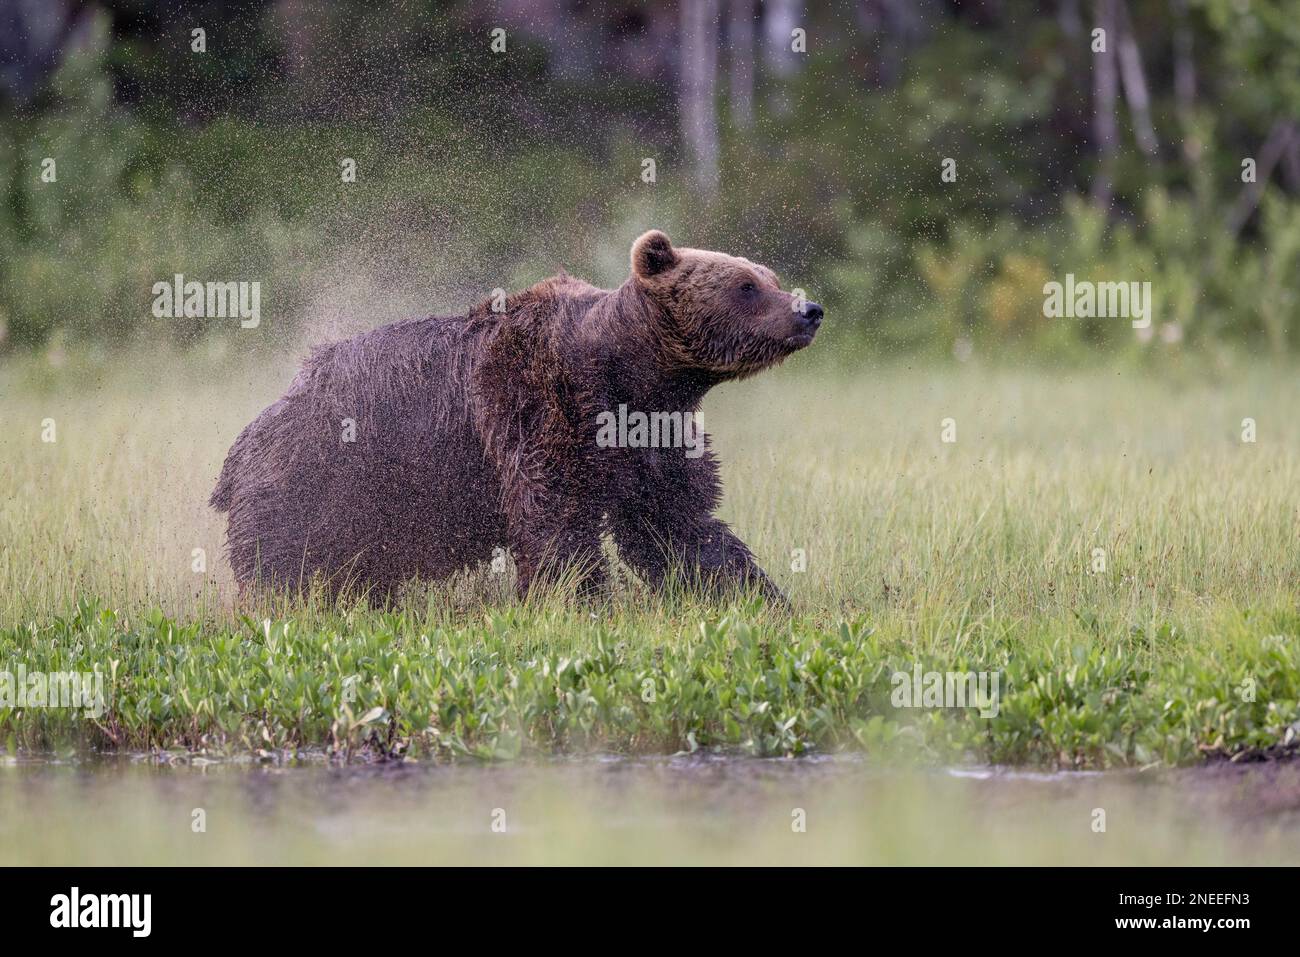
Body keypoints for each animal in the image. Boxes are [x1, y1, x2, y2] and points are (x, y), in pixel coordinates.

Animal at [211, 231, 821, 600]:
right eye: (745, 285)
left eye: (766, 275)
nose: (809, 309)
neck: (630, 376)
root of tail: (245, 439)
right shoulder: (537, 404)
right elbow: (554, 518)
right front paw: (576, 600)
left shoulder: (654, 438)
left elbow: (679, 524)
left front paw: (754, 594)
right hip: (311, 482)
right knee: (282, 564)